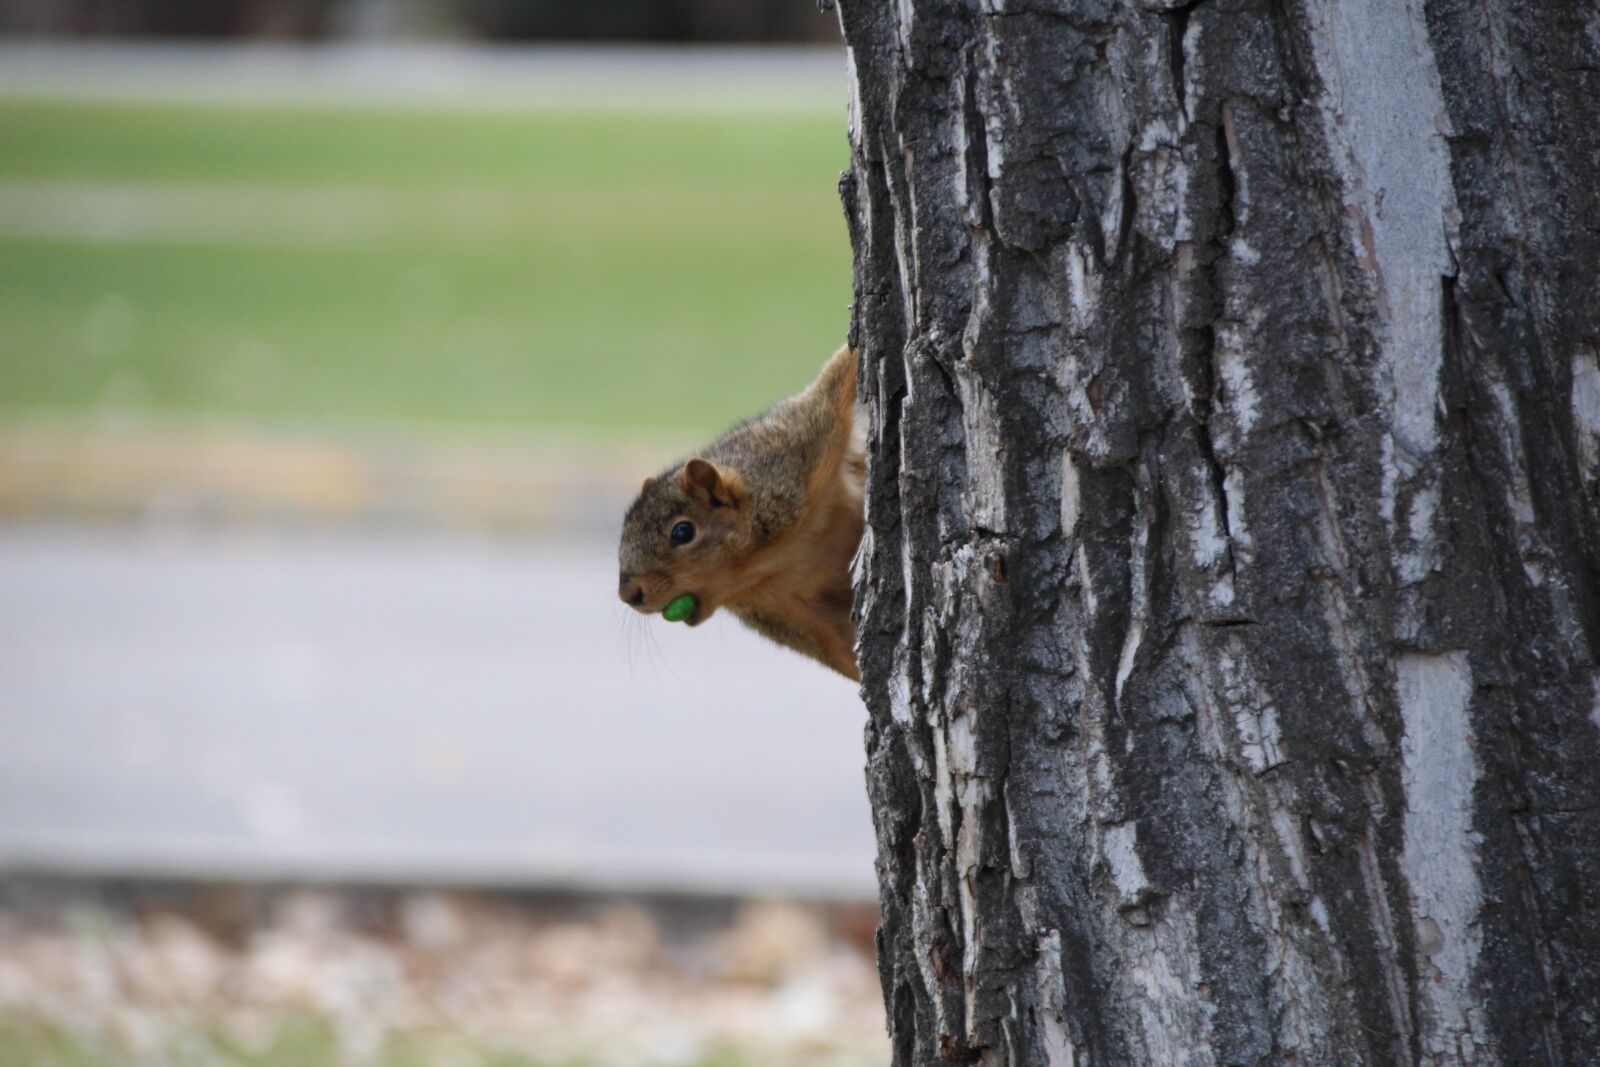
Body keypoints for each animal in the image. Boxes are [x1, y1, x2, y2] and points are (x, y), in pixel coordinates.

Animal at [617, 346, 865, 681]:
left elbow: (835, 381)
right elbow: (833, 642)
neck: (759, 563)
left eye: (682, 532)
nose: (629, 594)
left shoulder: (800, 447)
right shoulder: (782, 610)